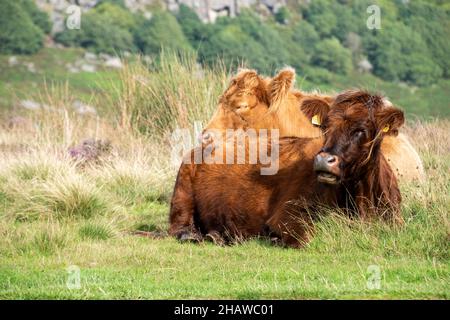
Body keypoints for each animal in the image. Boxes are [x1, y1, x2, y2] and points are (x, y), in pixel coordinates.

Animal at [170, 90, 404, 248]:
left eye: (361, 130)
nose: (323, 159)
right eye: (325, 126)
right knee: (179, 225)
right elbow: (307, 236)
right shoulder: (287, 213)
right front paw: (274, 238)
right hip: (182, 189)